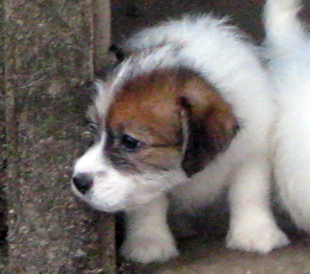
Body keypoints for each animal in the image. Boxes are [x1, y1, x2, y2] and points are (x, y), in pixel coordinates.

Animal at [72, 15, 288, 264]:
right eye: (93, 128)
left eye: (130, 142)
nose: (78, 181)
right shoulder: (149, 181)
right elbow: (149, 204)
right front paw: (149, 242)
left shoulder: (252, 152)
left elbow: (249, 192)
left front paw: (255, 232)